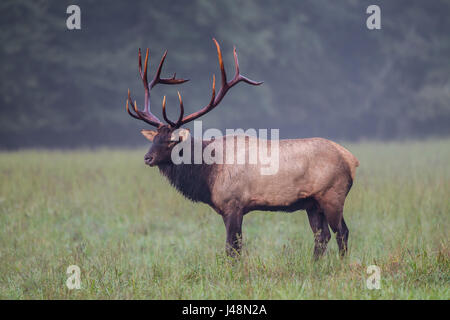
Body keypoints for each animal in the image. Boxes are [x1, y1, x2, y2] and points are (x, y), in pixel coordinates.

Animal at [125, 39, 358, 260]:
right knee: (322, 236)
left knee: (342, 232)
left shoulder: (233, 204)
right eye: (154, 138)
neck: (207, 174)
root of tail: (351, 160)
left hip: (333, 195)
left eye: (171, 141)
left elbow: (232, 248)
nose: (147, 158)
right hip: (312, 203)